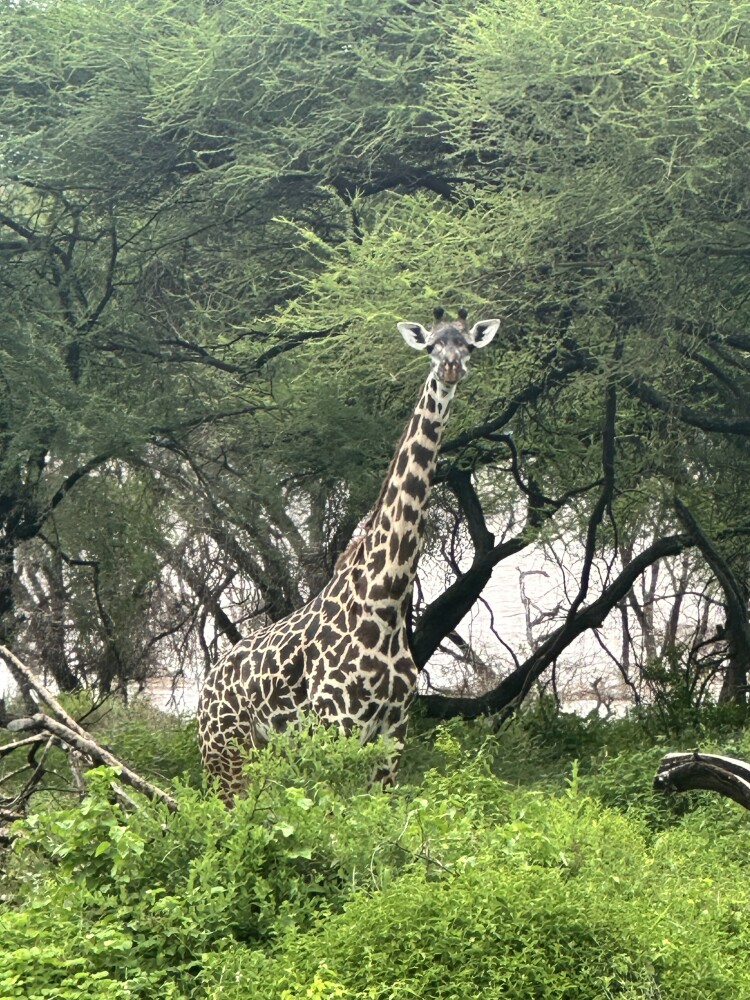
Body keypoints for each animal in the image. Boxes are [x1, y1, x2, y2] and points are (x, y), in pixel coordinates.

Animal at [198, 307, 500, 802]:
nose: (452, 367)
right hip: (224, 756)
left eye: (468, 345)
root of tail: (205, 686)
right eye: (431, 345)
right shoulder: (337, 724)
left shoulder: (394, 731)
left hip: (264, 755)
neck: (386, 595)